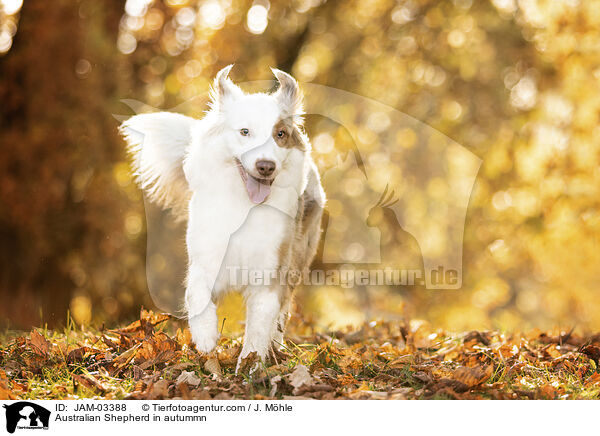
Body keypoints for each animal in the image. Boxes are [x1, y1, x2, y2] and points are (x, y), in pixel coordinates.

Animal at [120, 66, 324, 370]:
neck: (244, 207)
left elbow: (260, 324)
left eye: (280, 134)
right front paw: (206, 338)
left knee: (284, 309)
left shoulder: (270, 271)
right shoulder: (205, 261)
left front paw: (250, 364)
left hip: (298, 258)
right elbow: (197, 296)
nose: (266, 166)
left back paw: (276, 345)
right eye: (245, 132)